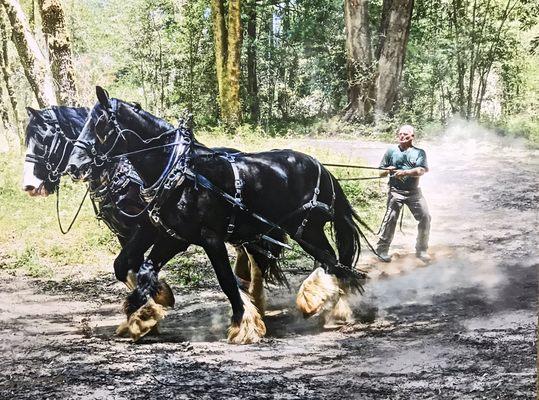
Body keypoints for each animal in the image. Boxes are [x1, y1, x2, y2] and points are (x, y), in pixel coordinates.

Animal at [68, 86, 368, 344]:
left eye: (100, 125)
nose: (73, 166)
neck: (178, 172)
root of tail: (321, 167)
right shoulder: (170, 234)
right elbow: (137, 268)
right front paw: (144, 314)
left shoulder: (207, 237)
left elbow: (225, 280)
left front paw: (242, 326)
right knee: (329, 264)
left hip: (306, 229)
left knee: (333, 262)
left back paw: (327, 304)